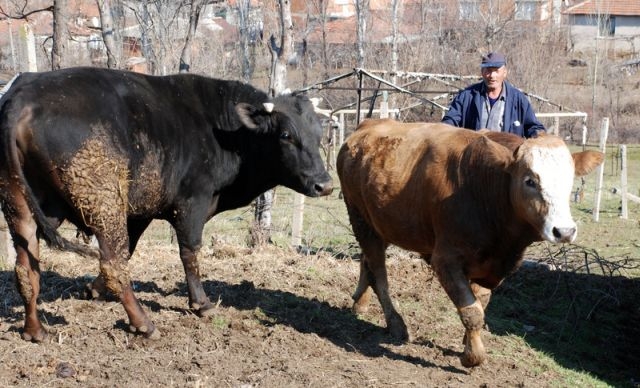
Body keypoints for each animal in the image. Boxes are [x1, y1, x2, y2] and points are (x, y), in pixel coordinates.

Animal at [0, 68, 332, 342]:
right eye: (286, 135)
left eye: (319, 135)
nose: (325, 184)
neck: (224, 130)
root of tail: (24, 94)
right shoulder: (192, 203)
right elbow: (189, 253)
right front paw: (201, 303)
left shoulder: (140, 211)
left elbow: (131, 249)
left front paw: (93, 290)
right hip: (103, 203)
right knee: (112, 263)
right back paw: (143, 324)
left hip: (22, 206)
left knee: (26, 266)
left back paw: (35, 330)